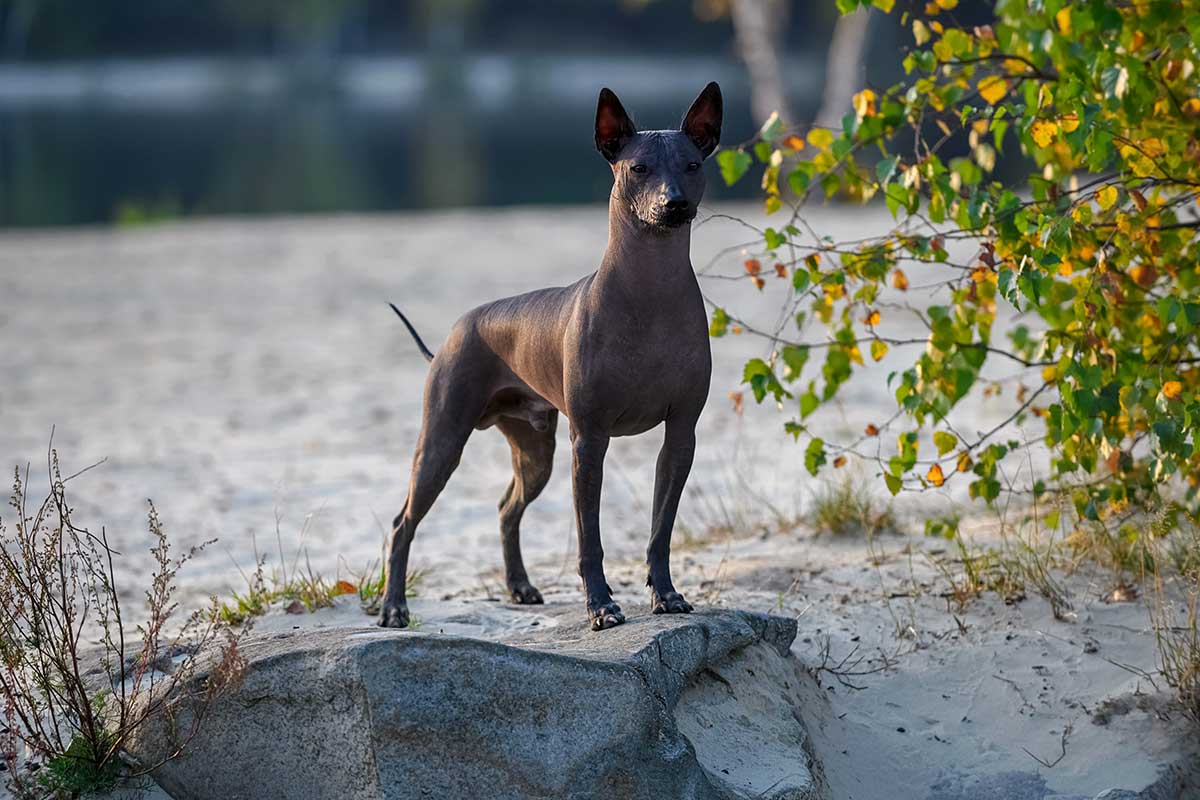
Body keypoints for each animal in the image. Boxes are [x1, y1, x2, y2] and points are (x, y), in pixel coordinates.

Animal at [384, 82, 720, 633]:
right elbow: (590, 541)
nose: (674, 205)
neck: (651, 293)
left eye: (692, 165)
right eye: (639, 168)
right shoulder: (590, 441)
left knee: (506, 510)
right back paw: (394, 607)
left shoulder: (681, 436)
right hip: (441, 443)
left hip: (535, 451)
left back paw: (519, 587)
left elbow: (660, 531)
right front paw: (601, 606)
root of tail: (458, 329)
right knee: (402, 523)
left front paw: (666, 595)